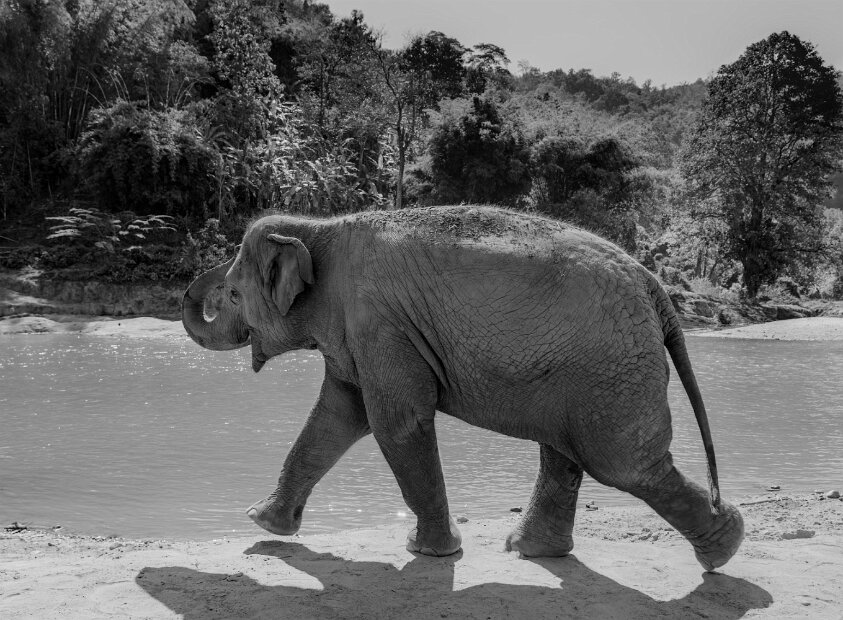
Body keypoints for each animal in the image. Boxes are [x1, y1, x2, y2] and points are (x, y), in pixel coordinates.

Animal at [182, 205, 744, 570]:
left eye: (233, 294)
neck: (320, 227)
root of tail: (654, 286)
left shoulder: (379, 324)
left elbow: (395, 421)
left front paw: (430, 552)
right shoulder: (358, 334)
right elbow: (338, 416)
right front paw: (263, 523)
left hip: (610, 367)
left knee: (623, 463)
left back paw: (724, 547)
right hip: (589, 371)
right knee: (565, 452)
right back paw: (530, 551)